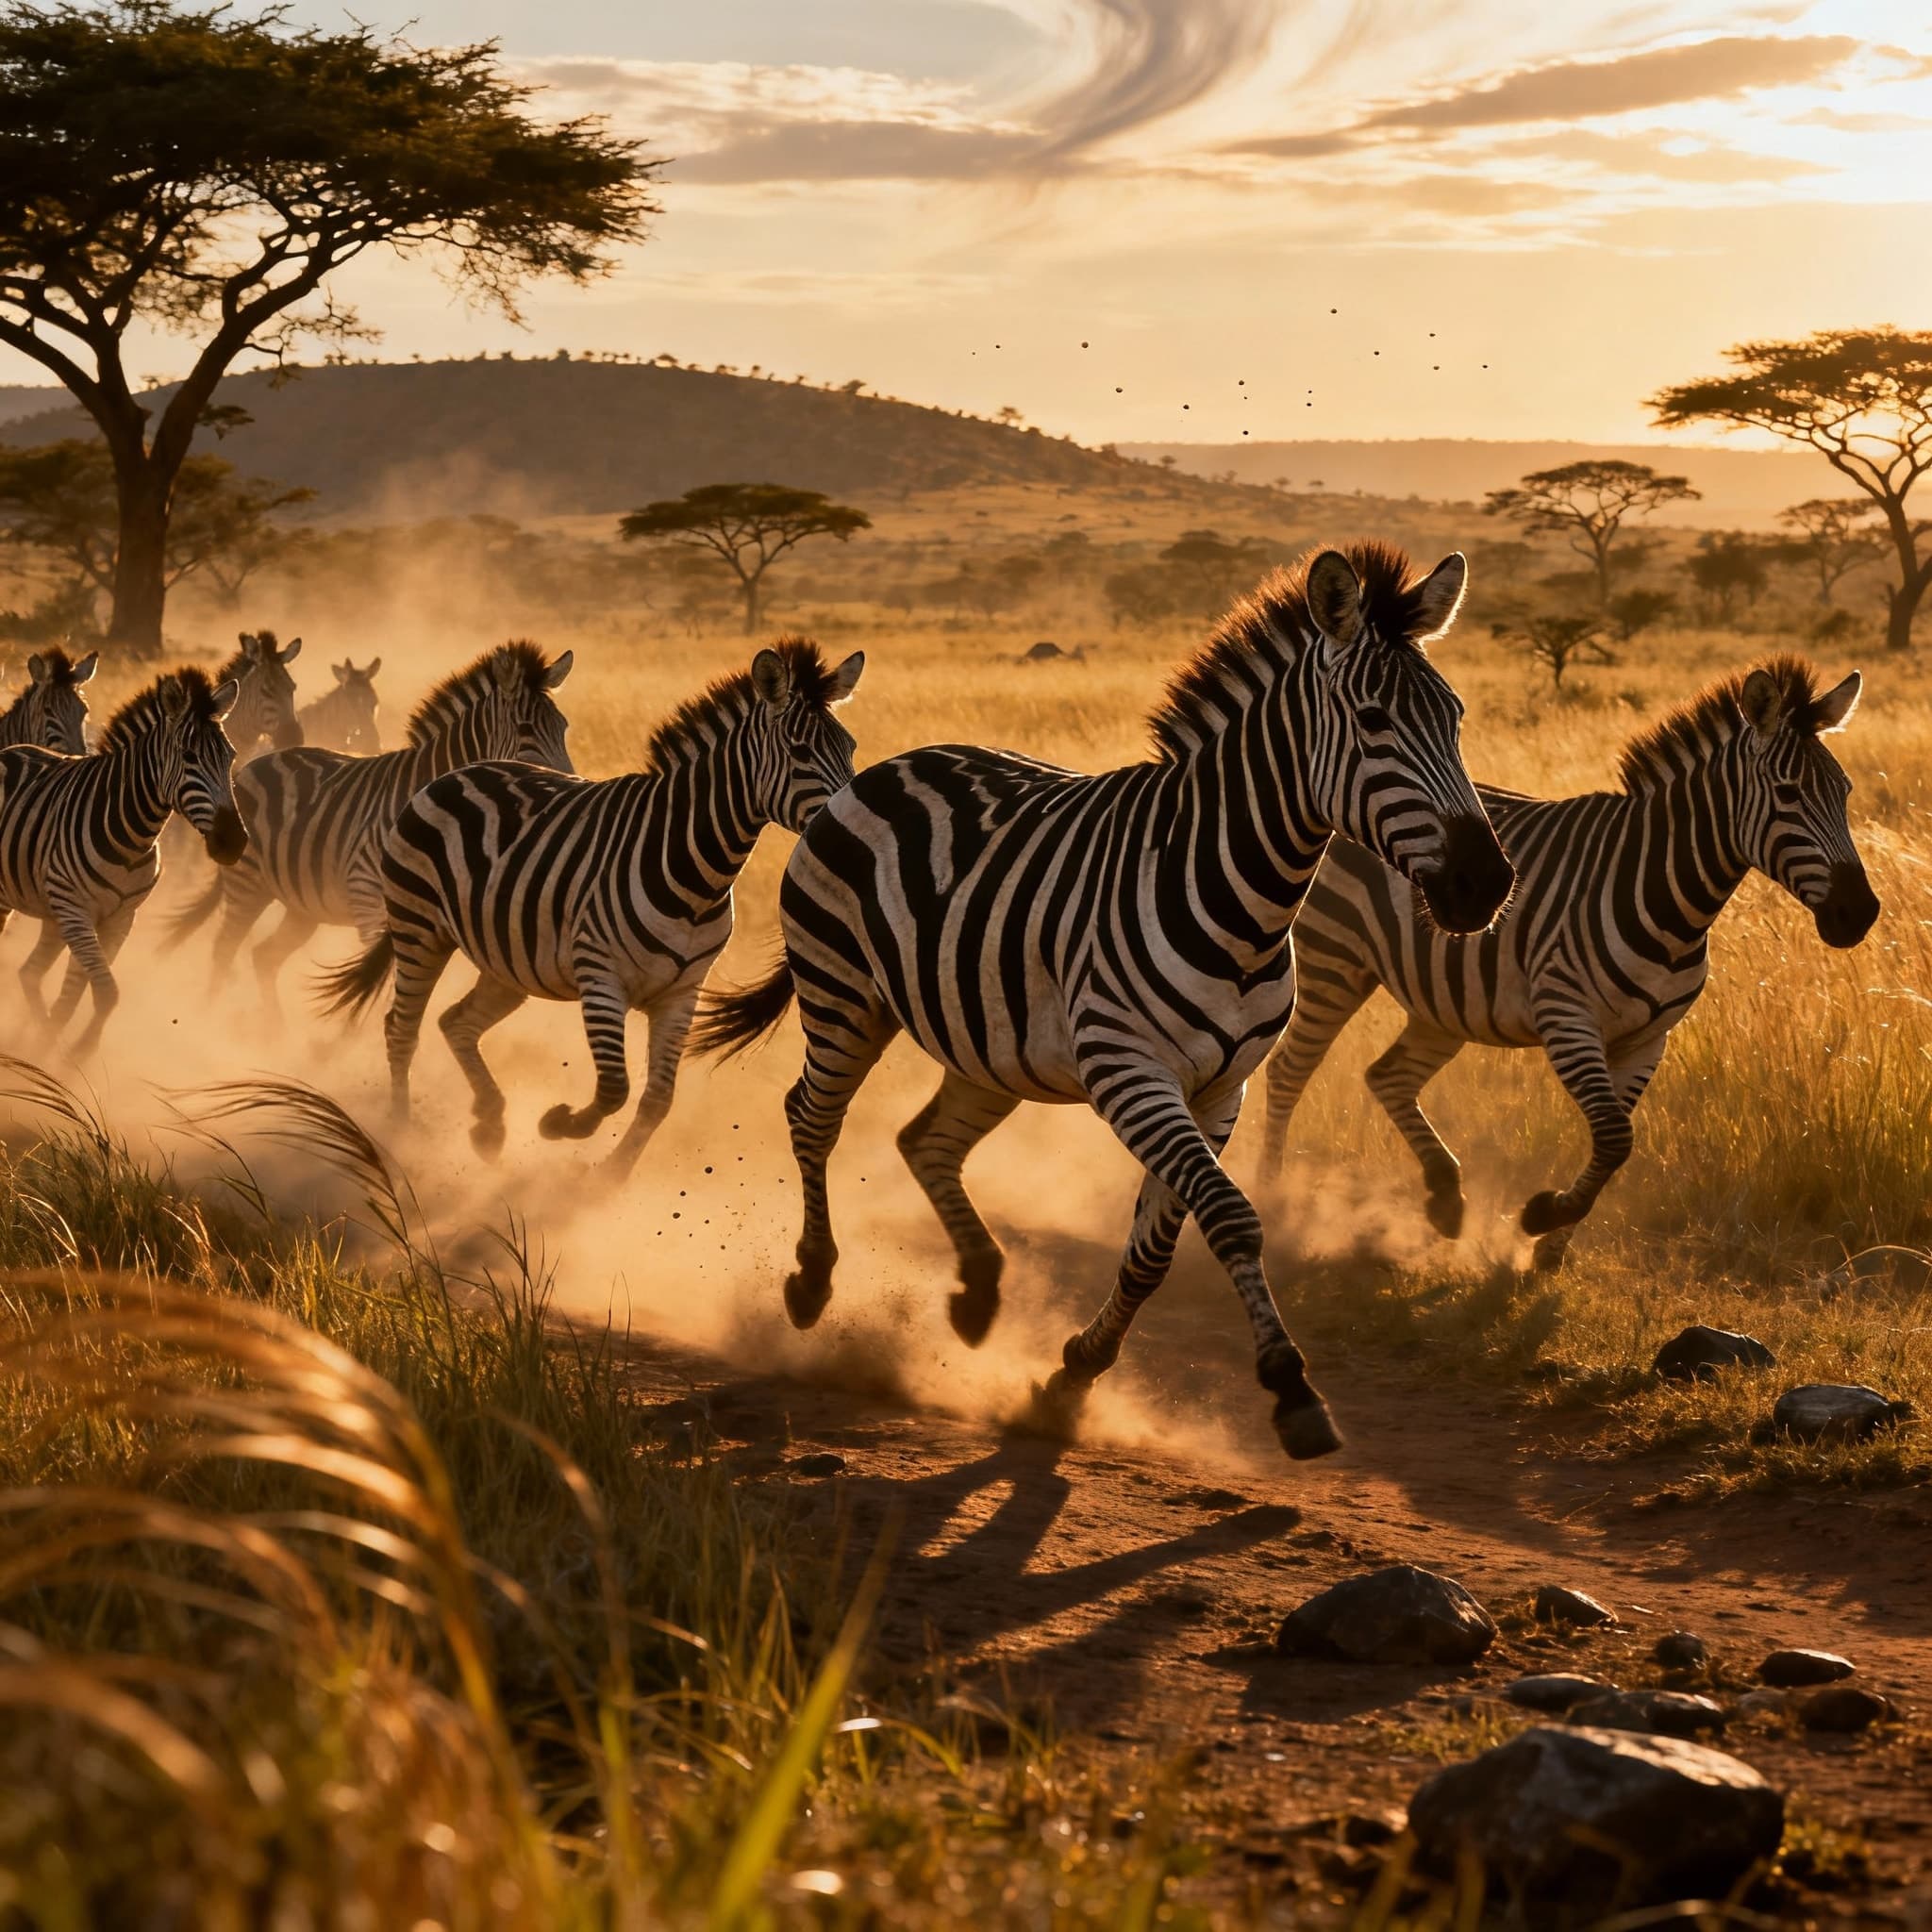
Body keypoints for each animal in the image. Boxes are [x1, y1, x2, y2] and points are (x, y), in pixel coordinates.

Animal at [0, 666, 244, 1051]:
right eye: (189, 756)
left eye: (231, 757)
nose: (235, 842)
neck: (131, 836)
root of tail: (11, 749)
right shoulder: (77, 911)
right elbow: (105, 992)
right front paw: (76, 1053)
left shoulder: (119, 918)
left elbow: (78, 996)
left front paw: (53, 1046)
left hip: (52, 913)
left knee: (29, 973)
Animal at [164, 641, 573, 1010]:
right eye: (524, 729)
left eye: (564, 726)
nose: (569, 786)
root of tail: (253, 765)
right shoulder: (368, 894)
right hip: (248, 883)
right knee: (223, 949)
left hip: (302, 904)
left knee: (264, 955)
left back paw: (273, 1030)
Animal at [316, 639, 864, 1171]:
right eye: (799, 750)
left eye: (852, 747)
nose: (843, 827)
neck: (694, 869)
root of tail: (455, 771)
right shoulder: (600, 975)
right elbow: (615, 1088)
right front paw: (560, 1124)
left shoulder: (682, 993)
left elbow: (657, 1099)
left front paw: (608, 1181)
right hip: (419, 928)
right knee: (401, 1029)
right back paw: (400, 1129)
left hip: (508, 962)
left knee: (455, 1022)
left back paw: (489, 1125)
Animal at [691, 545, 1513, 1461]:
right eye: (1372, 720)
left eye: (1456, 717)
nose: (1487, 885)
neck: (1236, 895)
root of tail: (881, 770)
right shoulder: (1130, 1070)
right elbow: (1231, 1216)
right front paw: (1291, 1388)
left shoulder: (1220, 1091)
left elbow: (1155, 1246)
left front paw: (1072, 1376)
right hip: (844, 996)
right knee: (811, 1115)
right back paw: (811, 1281)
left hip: (990, 1043)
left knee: (925, 1139)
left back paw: (979, 1290)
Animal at [1258, 656, 1879, 1271]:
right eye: (1788, 793)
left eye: (1846, 792)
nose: (1862, 913)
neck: (1666, 896)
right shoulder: (1567, 1017)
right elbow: (1615, 1137)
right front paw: (1542, 1218)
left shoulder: (1648, 1039)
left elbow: (1614, 1141)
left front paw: (1551, 1245)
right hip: (1334, 958)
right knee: (1289, 1070)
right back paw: (1276, 1201)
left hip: (1445, 1001)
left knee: (1388, 1075)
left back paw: (1445, 1198)